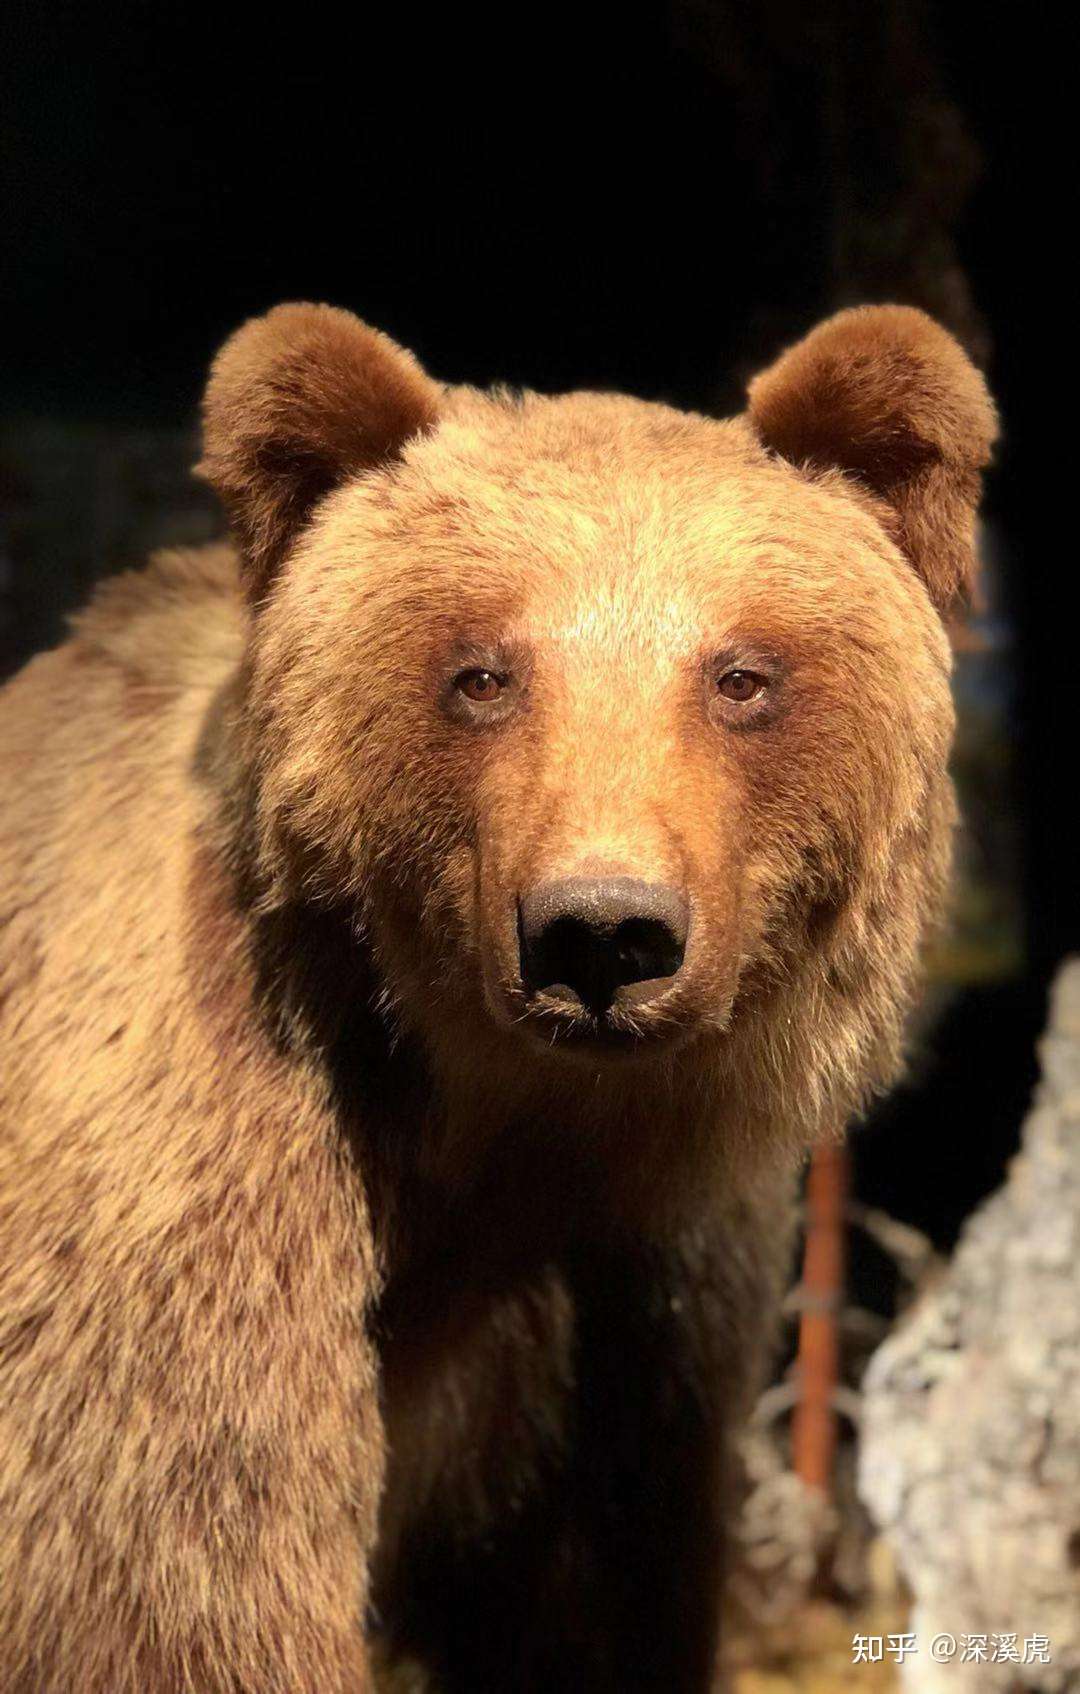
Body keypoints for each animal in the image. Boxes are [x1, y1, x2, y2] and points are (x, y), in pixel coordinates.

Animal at [0, 301, 995, 1693]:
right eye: (481, 671)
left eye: (740, 673)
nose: (603, 933)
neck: (487, 1128)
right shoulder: (184, 1215)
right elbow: (175, 1584)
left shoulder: (625, 1309)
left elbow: (586, 1589)